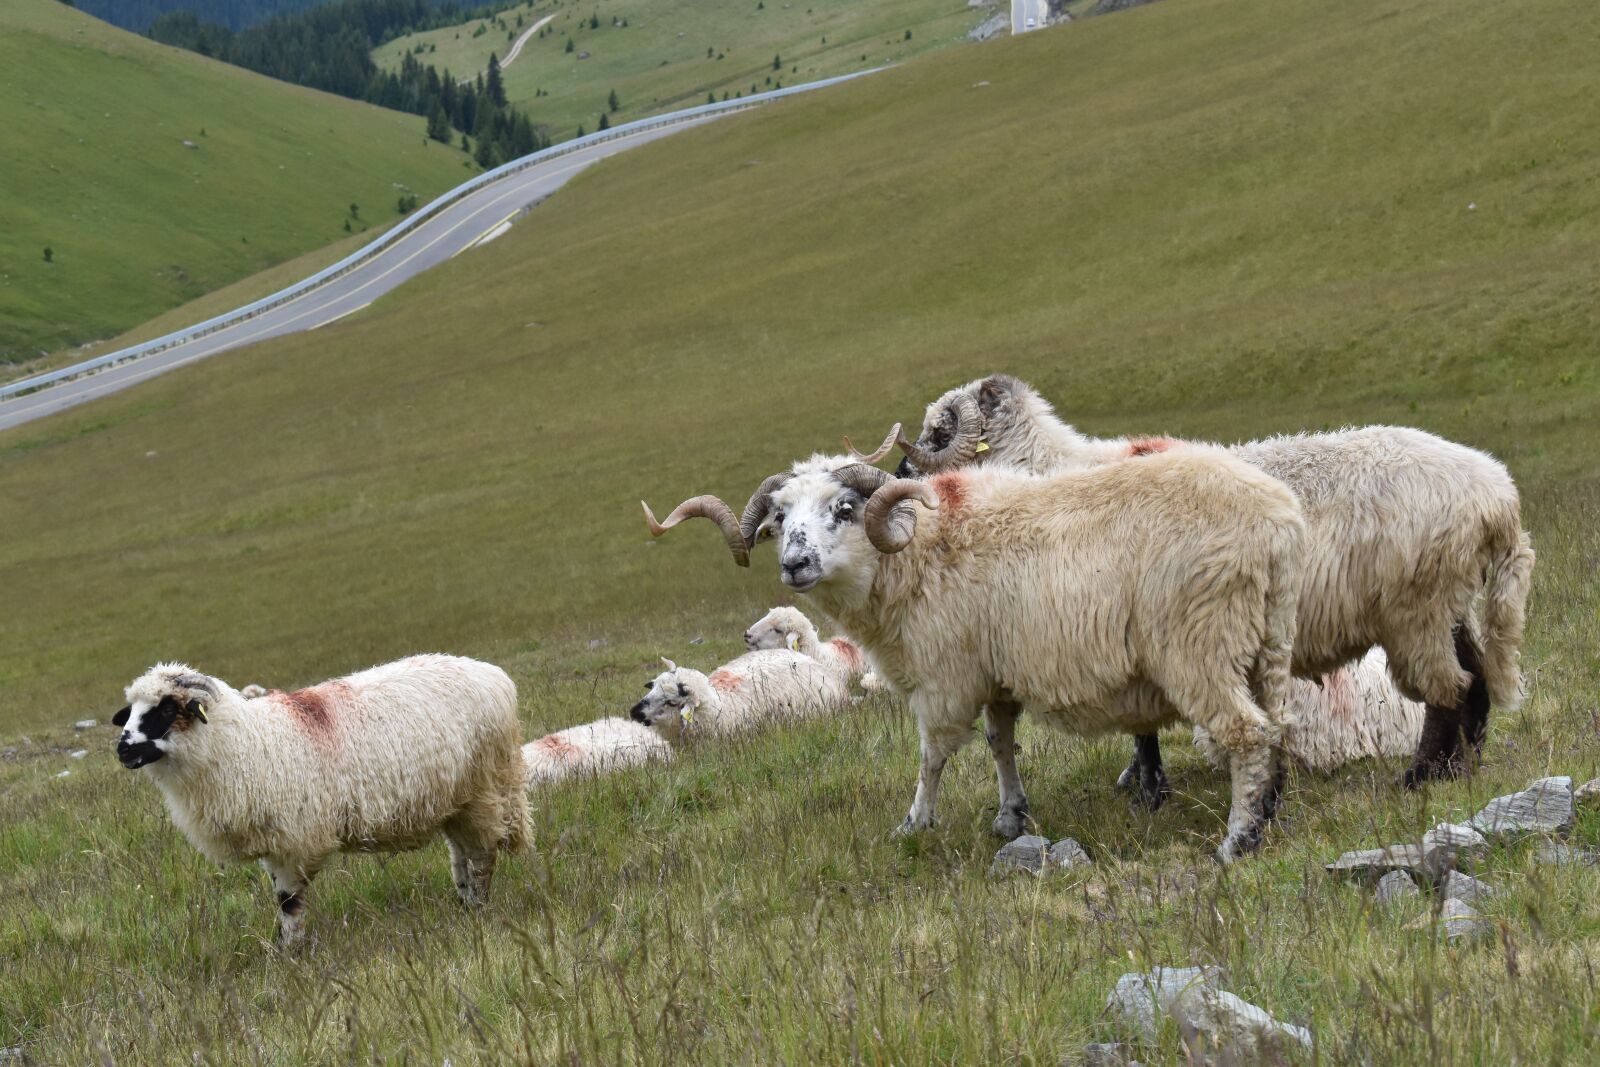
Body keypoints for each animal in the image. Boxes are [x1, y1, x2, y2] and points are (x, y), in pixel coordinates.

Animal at [113, 656, 529, 948]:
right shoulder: (275, 844)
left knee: (482, 857)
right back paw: (465, 905)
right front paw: (283, 950)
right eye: (130, 712)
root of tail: (496, 676)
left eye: (167, 709)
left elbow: (290, 902)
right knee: (461, 855)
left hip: (485, 789)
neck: (248, 743)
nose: (123, 750)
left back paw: (480, 909)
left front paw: (291, 954)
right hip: (457, 801)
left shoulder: (296, 841)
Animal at [644, 448, 1305, 863]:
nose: (795, 564)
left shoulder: (947, 674)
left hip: (1199, 643)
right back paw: (1267, 810)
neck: (915, 546)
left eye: (844, 509)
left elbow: (932, 756)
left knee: (1246, 732)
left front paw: (914, 824)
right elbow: (1000, 742)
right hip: (1268, 640)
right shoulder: (995, 670)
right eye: (781, 517)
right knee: (1277, 725)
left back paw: (1238, 841)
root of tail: (1276, 522)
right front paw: (1011, 815)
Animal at [889, 374, 1534, 799]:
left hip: (1414, 607)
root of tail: (1497, 493)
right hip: (1448, 600)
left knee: (1449, 690)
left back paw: (1423, 775)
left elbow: (1143, 728)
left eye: (940, 430)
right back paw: (1460, 767)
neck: (1045, 471)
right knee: (1475, 678)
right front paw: (1141, 782)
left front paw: (1149, 787)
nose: (895, 481)